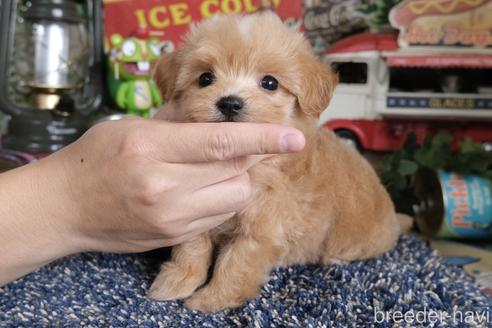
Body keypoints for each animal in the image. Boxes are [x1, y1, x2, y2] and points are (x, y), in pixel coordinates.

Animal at [148, 12, 410, 312]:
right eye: (205, 78)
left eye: (270, 83)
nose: (229, 103)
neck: (248, 163)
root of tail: (393, 218)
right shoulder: (197, 206)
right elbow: (191, 247)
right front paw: (175, 283)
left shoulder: (262, 229)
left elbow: (234, 265)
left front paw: (212, 299)